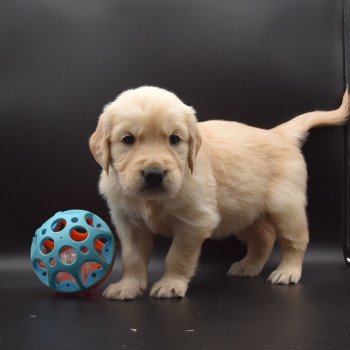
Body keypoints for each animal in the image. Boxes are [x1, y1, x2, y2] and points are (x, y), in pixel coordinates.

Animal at [89, 86, 348, 300]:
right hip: (243, 211)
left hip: (284, 206)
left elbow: (177, 255)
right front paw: (128, 287)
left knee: (296, 239)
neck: (152, 201)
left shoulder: (195, 222)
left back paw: (287, 271)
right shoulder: (129, 223)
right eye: (128, 139)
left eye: (174, 139)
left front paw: (171, 284)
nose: (154, 174)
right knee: (264, 237)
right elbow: (132, 257)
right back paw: (248, 266)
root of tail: (278, 133)